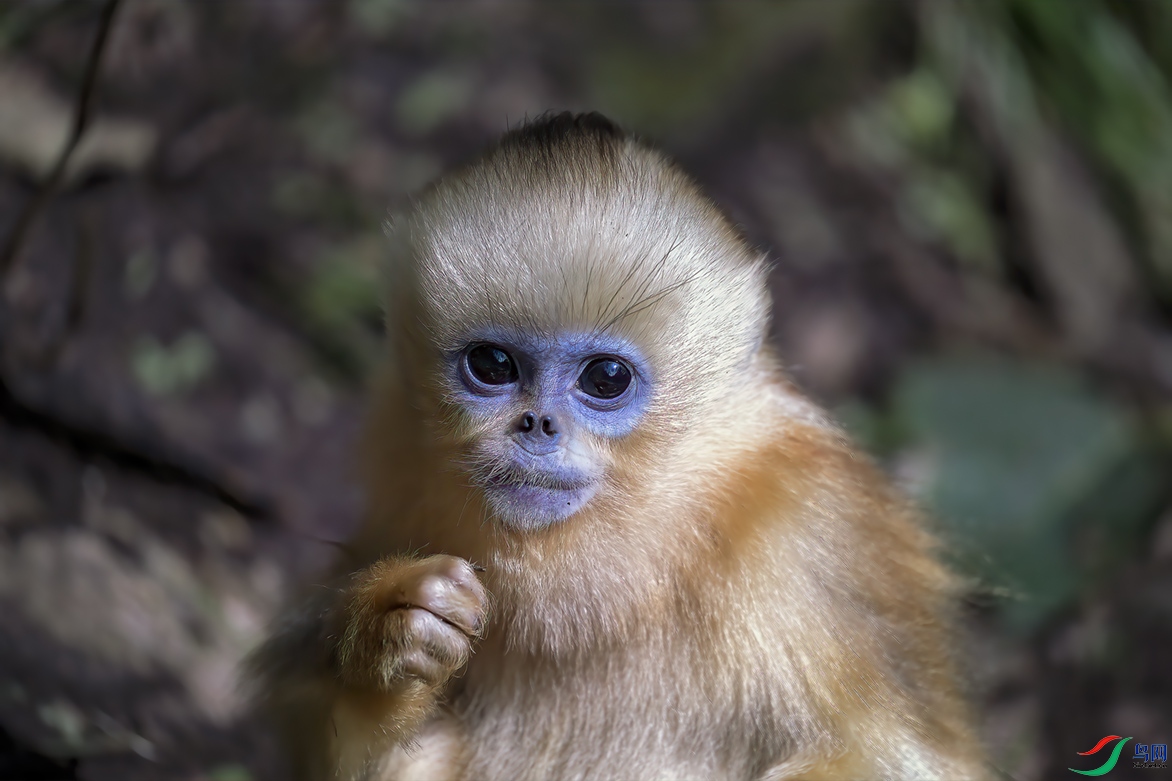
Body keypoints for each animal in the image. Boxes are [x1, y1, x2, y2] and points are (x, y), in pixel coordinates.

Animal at [249, 110, 989, 778]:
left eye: (605, 379)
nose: (536, 426)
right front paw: (388, 633)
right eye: (492, 365)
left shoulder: (812, 538)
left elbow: (892, 758)